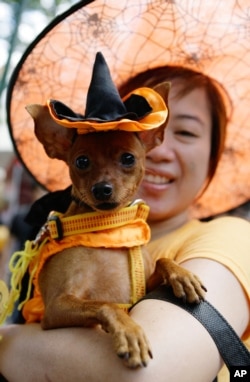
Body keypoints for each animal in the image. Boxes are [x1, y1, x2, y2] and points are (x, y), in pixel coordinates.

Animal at [22, 52, 205, 368]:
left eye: (128, 159)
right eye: (81, 161)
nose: (102, 189)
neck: (108, 229)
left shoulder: (142, 289)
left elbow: (162, 261)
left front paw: (183, 275)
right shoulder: (57, 306)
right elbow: (108, 304)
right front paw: (129, 333)